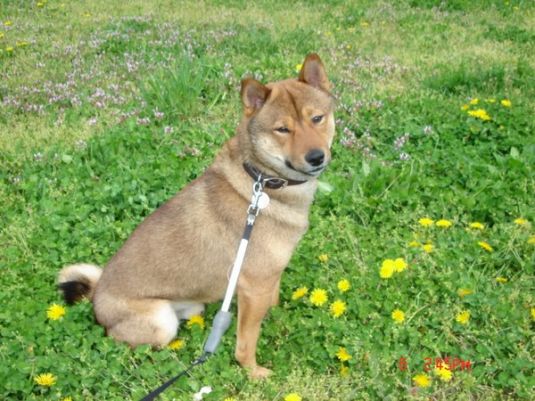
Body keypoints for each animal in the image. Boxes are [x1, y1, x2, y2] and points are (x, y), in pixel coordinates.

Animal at [58, 53, 336, 378]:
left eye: (317, 118)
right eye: (282, 129)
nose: (316, 157)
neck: (262, 182)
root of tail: (96, 296)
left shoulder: (267, 280)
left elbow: (273, 301)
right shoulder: (253, 288)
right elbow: (247, 342)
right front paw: (253, 373)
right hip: (160, 321)